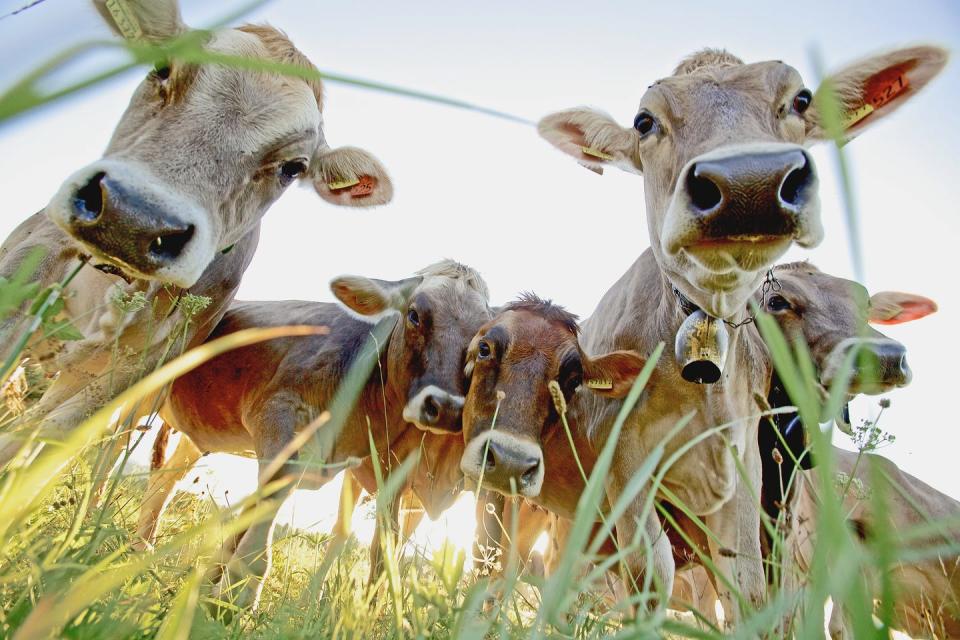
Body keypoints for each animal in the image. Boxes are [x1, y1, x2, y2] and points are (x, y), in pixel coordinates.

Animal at [0, 0, 392, 470]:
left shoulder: (153, 361)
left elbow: (55, 431)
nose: (133, 217)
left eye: (293, 167)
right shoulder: (30, 257)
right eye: (162, 67)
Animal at [134, 260, 488, 608]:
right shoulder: (278, 418)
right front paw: (233, 594)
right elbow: (264, 514)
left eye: (479, 344)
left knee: (167, 479)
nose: (446, 407)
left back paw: (141, 549)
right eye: (415, 315)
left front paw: (213, 588)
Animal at [520, 43, 940, 620]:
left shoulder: (749, 473)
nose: (749, 182)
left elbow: (750, 586)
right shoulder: (622, 455)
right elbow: (649, 573)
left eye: (800, 100)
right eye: (644, 121)